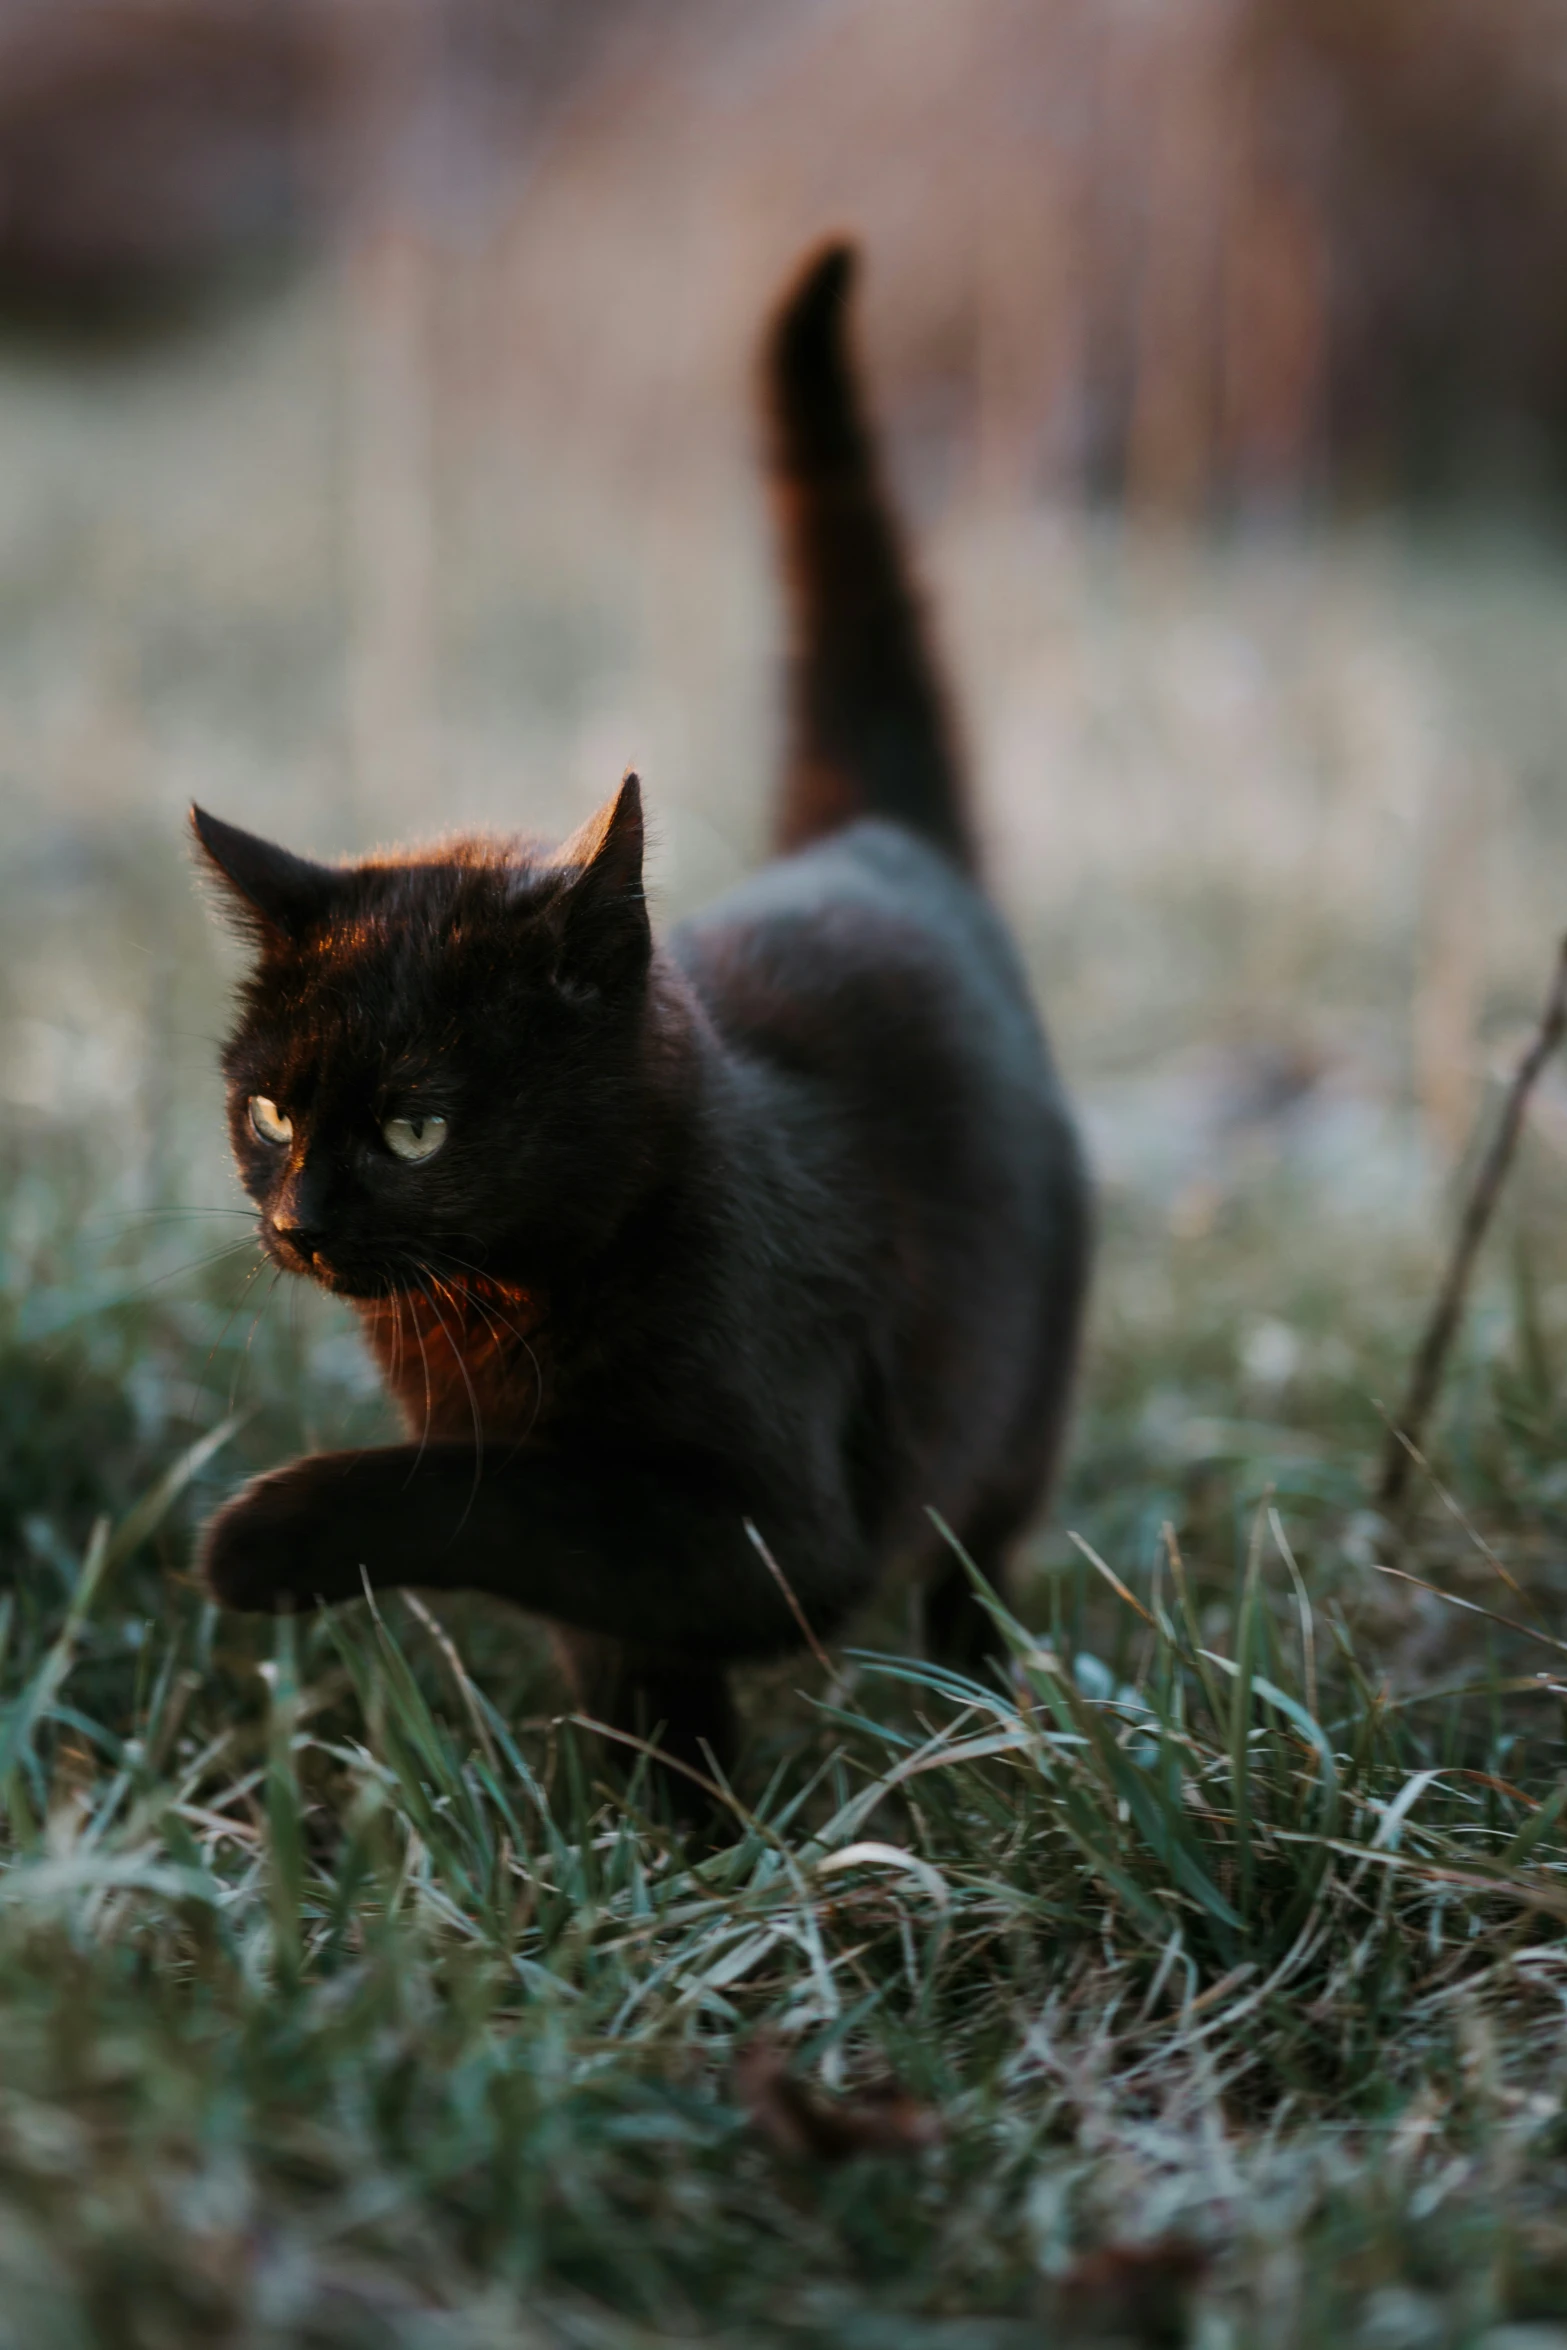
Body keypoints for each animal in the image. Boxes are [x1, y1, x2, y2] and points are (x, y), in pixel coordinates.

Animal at [192, 243, 1090, 1776]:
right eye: (268, 1112)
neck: (502, 1312)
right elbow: (625, 1669)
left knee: (970, 1555)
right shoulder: (631, 1584)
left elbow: (515, 1499)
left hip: (1009, 1405)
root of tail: (873, 841)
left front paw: (272, 1533)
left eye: (418, 1126)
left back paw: (986, 1714)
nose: (299, 1220)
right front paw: (667, 1825)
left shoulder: (780, 1529)